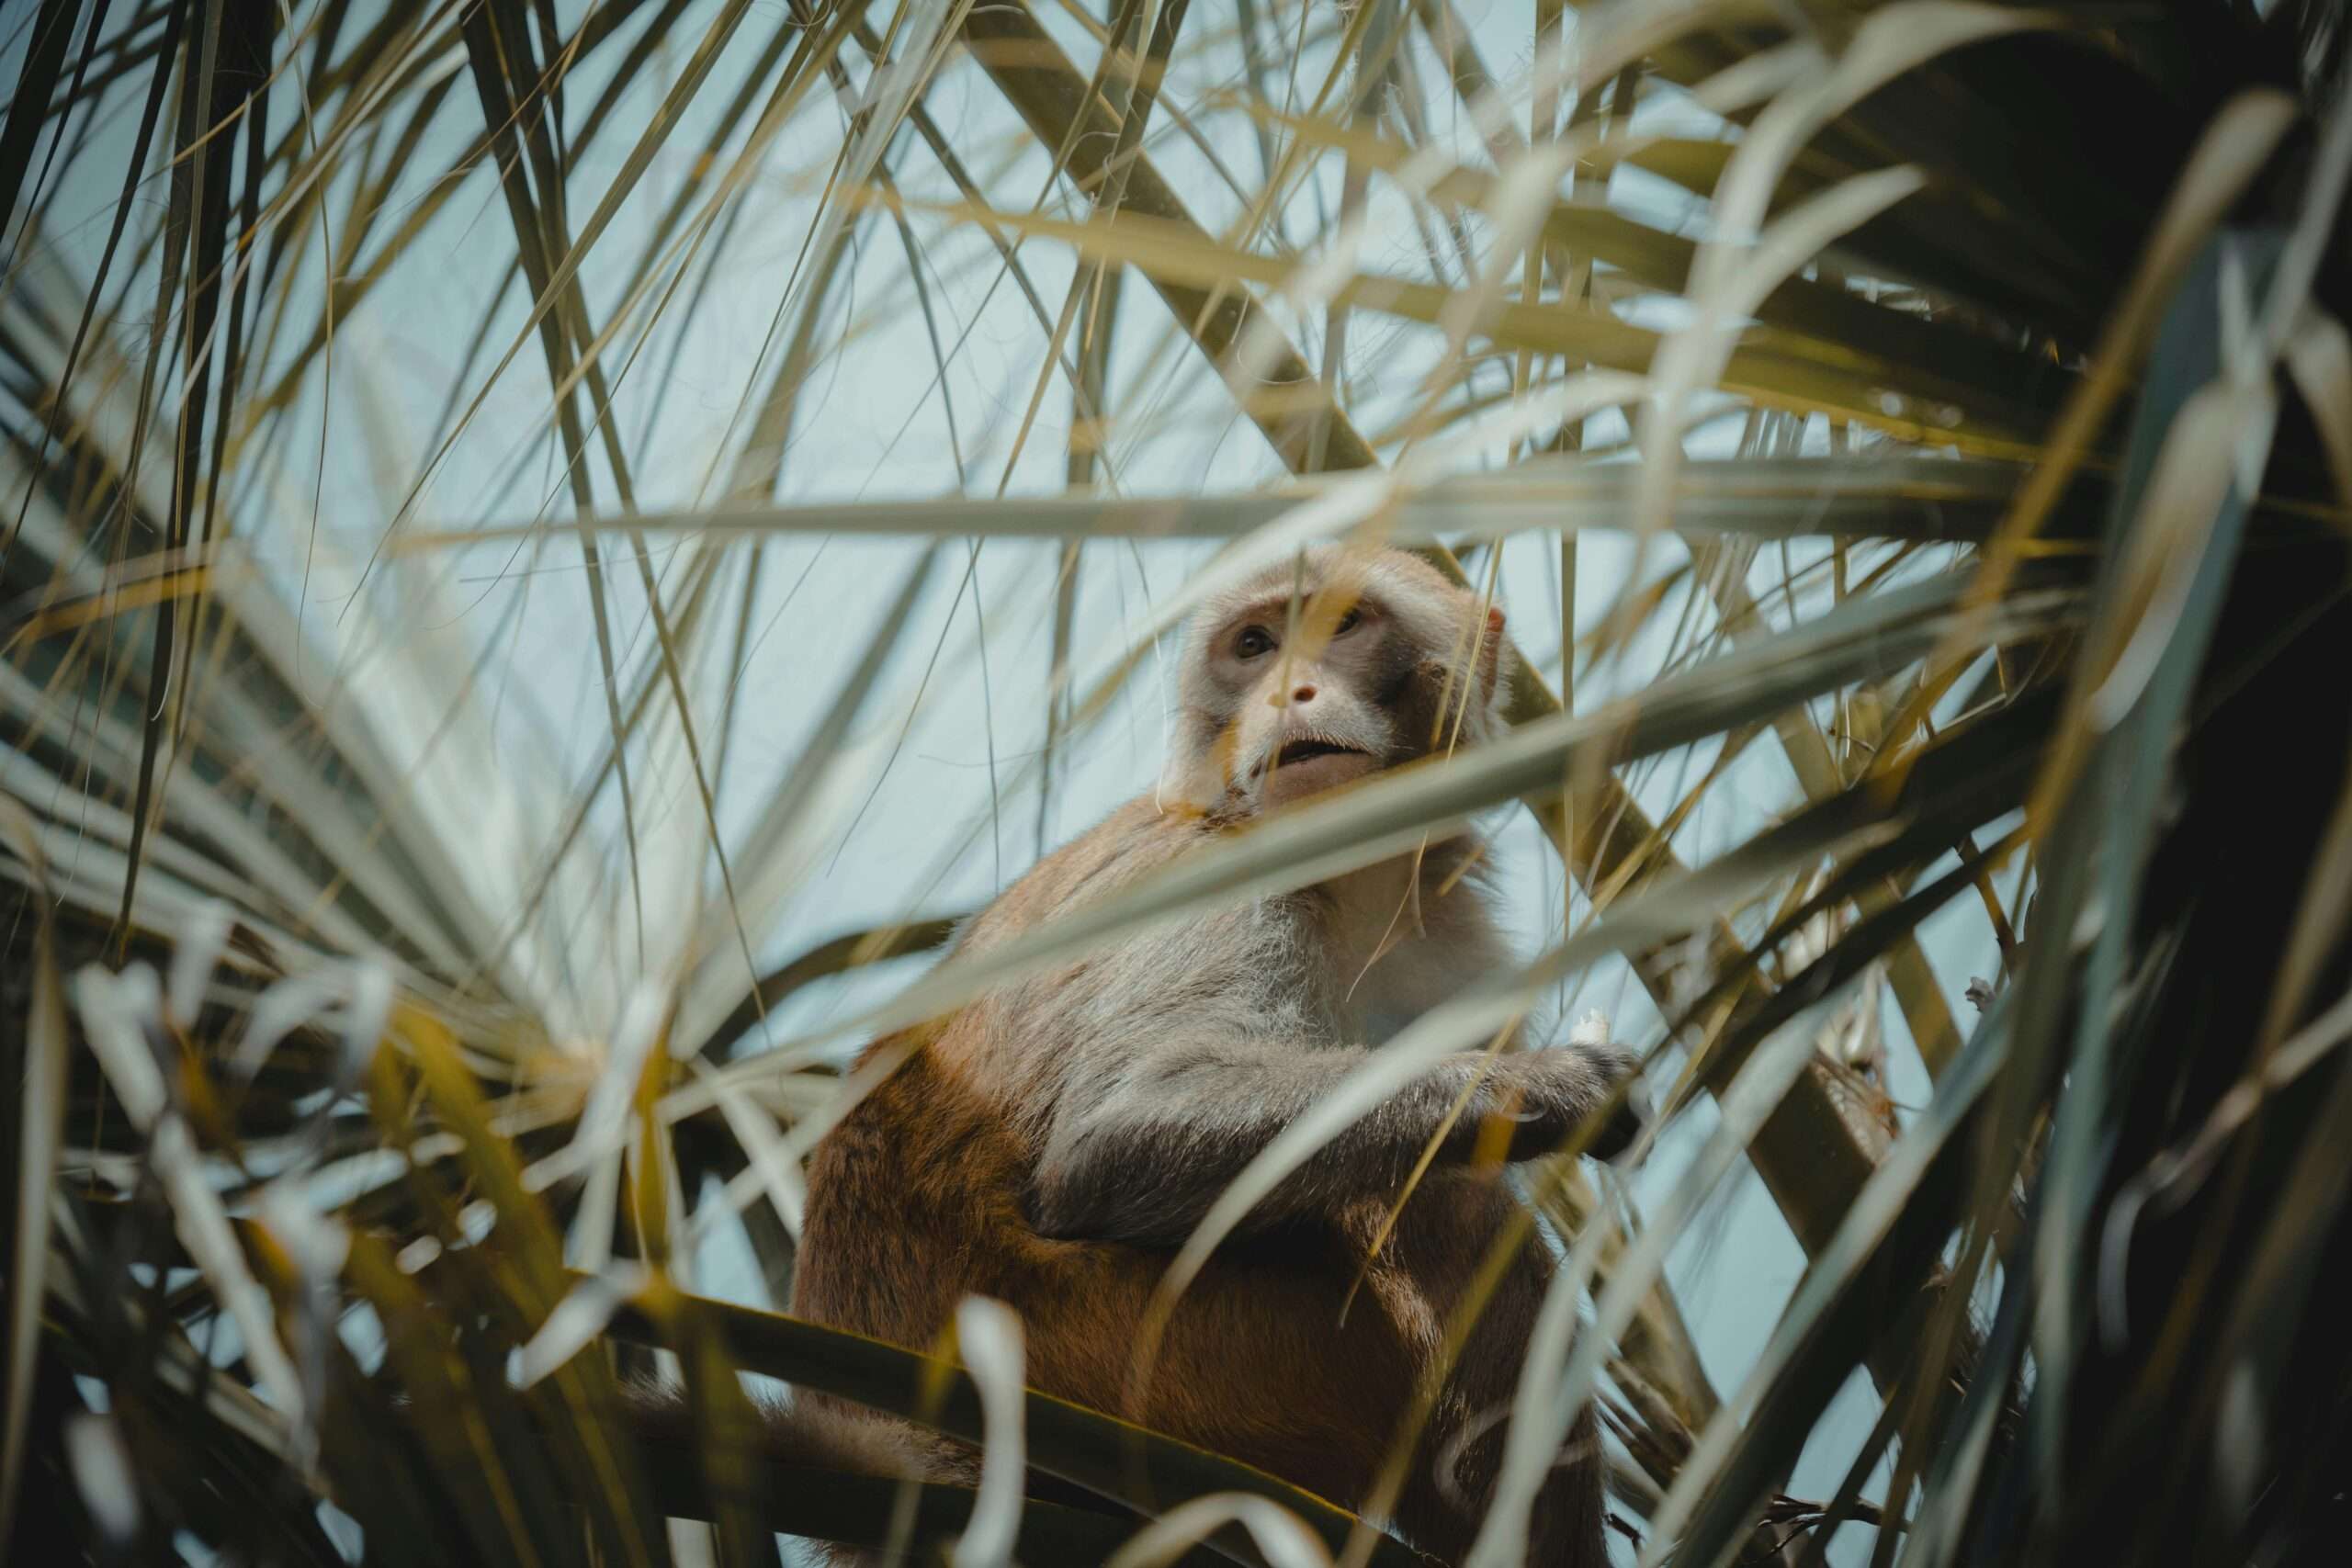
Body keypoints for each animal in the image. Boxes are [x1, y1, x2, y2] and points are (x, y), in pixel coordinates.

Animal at [788, 545, 1640, 1566]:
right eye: (1255, 645)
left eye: (1344, 625)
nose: (1289, 689)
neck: (1352, 873)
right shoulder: (1227, 880)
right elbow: (1119, 1131)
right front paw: (1554, 1088)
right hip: (1115, 1367)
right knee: (1450, 1206)